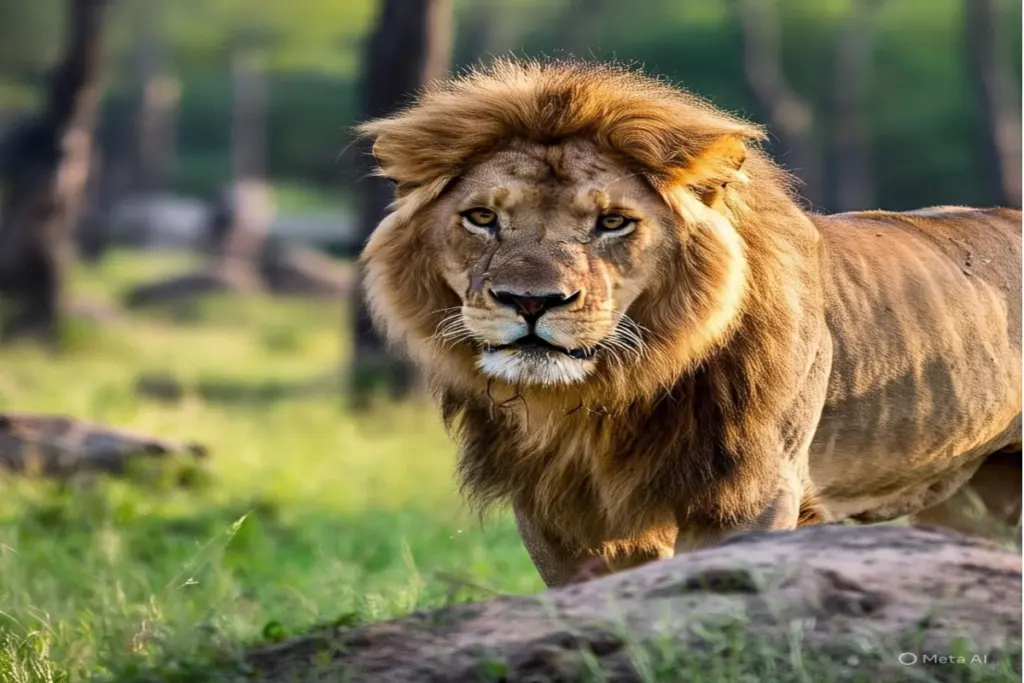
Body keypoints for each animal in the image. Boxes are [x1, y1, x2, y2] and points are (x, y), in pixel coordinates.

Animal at [356, 59, 1022, 588]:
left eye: (613, 222)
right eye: (482, 217)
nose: (531, 301)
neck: (601, 403)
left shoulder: (749, 494)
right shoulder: (555, 509)